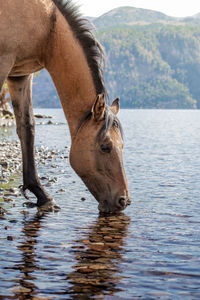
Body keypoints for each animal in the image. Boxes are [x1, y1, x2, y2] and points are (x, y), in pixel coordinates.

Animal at [0, 0, 130, 213]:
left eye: (122, 145)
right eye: (105, 147)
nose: (123, 201)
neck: (47, 26)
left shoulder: (20, 75)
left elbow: (27, 128)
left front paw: (41, 194)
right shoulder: (4, 63)